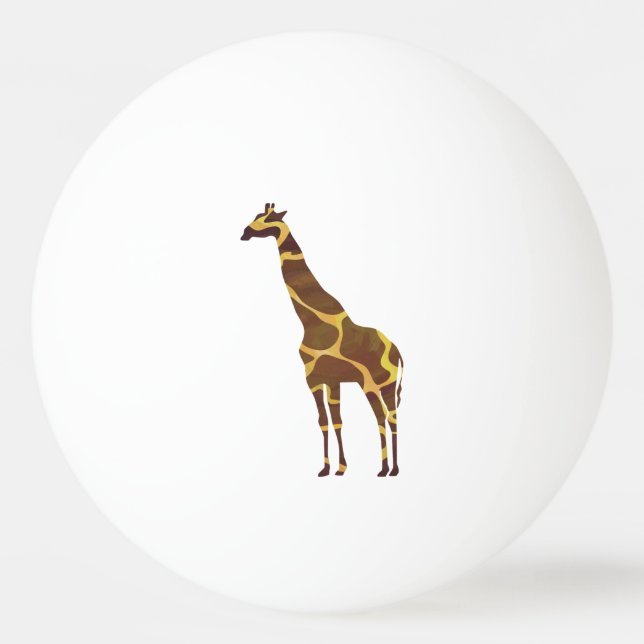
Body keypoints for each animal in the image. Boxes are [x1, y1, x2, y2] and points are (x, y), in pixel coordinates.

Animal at [241, 203, 404, 477]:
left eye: (267, 218)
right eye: (256, 216)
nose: (244, 233)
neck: (310, 321)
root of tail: (399, 353)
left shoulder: (315, 378)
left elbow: (327, 421)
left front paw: (335, 467)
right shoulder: (326, 379)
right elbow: (331, 421)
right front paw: (334, 468)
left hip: (379, 383)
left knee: (385, 417)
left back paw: (387, 469)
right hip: (378, 384)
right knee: (387, 417)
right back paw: (389, 468)